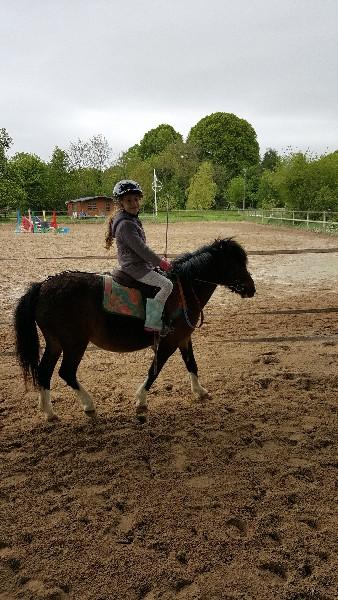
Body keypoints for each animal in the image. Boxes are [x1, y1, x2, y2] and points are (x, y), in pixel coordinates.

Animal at [14, 239, 255, 422]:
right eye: (236, 264)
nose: (251, 289)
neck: (184, 290)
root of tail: (42, 286)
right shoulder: (169, 341)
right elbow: (155, 370)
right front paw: (141, 399)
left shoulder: (183, 338)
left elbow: (191, 364)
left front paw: (200, 391)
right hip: (74, 344)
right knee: (66, 372)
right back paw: (88, 405)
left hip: (55, 343)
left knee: (44, 371)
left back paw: (49, 412)